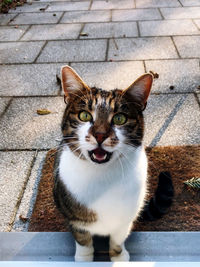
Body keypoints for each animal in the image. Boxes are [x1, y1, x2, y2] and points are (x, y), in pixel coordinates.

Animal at [53, 66, 155, 262]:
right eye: (84, 115)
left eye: (119, 119)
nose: (100, 135)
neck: (101, 175)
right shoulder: (74, 217)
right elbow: (82, 239)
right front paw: (84, 258)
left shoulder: (125, 218)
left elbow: (118, 238)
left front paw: (119, 257)